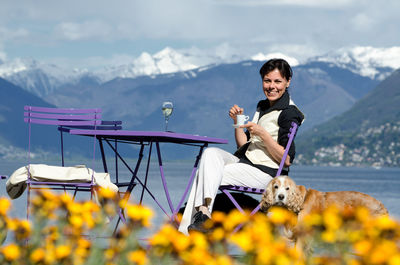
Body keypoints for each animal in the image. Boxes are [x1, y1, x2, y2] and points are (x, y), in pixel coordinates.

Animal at [260, 175, 388, 252]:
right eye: (276, 187)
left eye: (287, 188)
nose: (280, 197)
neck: (299, 203)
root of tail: (381, 205)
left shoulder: (303, 235)